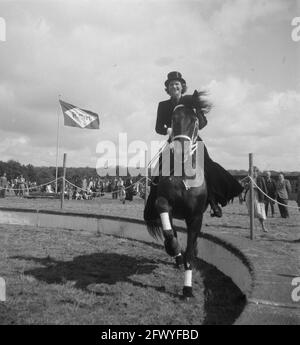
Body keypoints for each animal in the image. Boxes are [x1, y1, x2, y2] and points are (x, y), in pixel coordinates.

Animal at [144, 103, 207, 298]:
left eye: (195, 120)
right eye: (173, 119)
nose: (181, 150)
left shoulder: (195, 217)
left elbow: (190, 253)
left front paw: (187, 289)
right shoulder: (164, 203)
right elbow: (170, 234)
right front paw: (172, 248)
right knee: (172, 231)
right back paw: (176, 253)